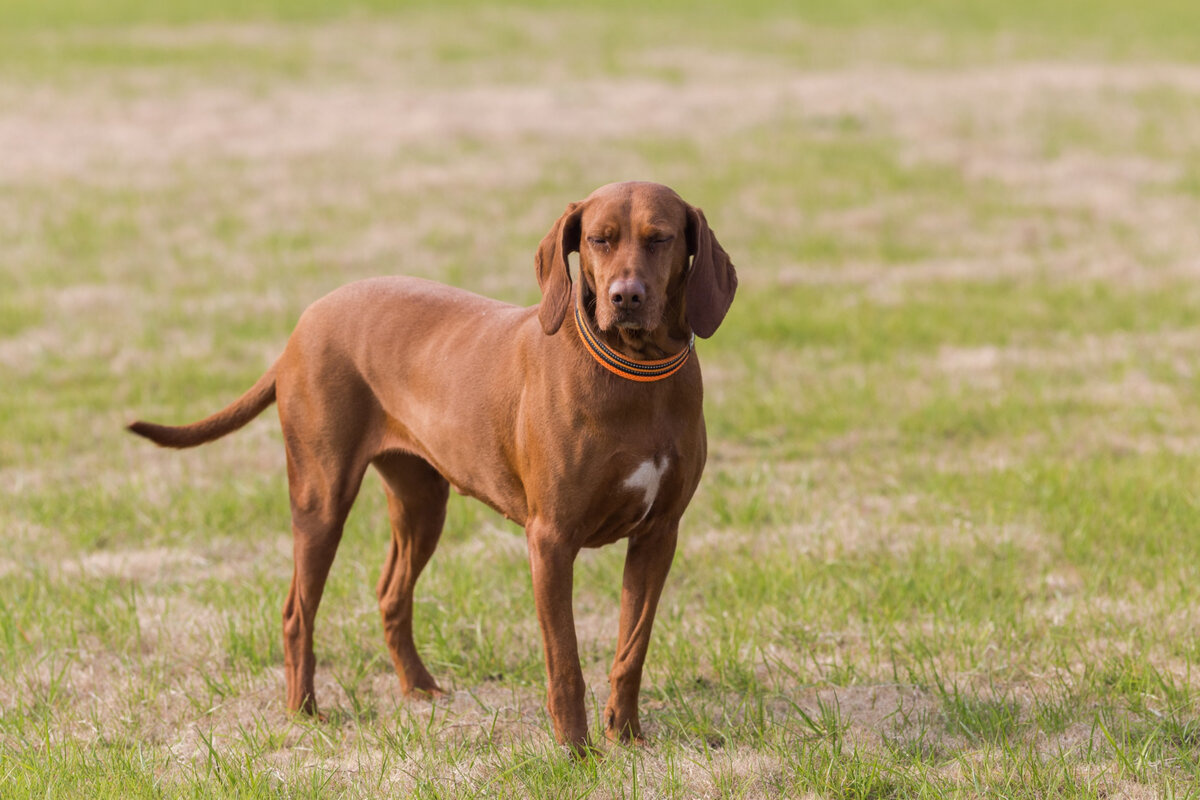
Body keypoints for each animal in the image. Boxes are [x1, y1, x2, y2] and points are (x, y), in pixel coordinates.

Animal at [126, 181, 734, 753]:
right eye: (599, 239)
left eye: (660, 238)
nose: (625, 297)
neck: (636, 371)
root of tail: (302, 326)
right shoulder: (551, 539)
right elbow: (565, 662)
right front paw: (575, 752)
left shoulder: (658, 535)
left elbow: (632, 649)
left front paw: (625, 737)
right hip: (321, 499)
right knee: (298, 611)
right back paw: (303, 711)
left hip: (422, 503)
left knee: (391, 592)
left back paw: (418, 688)